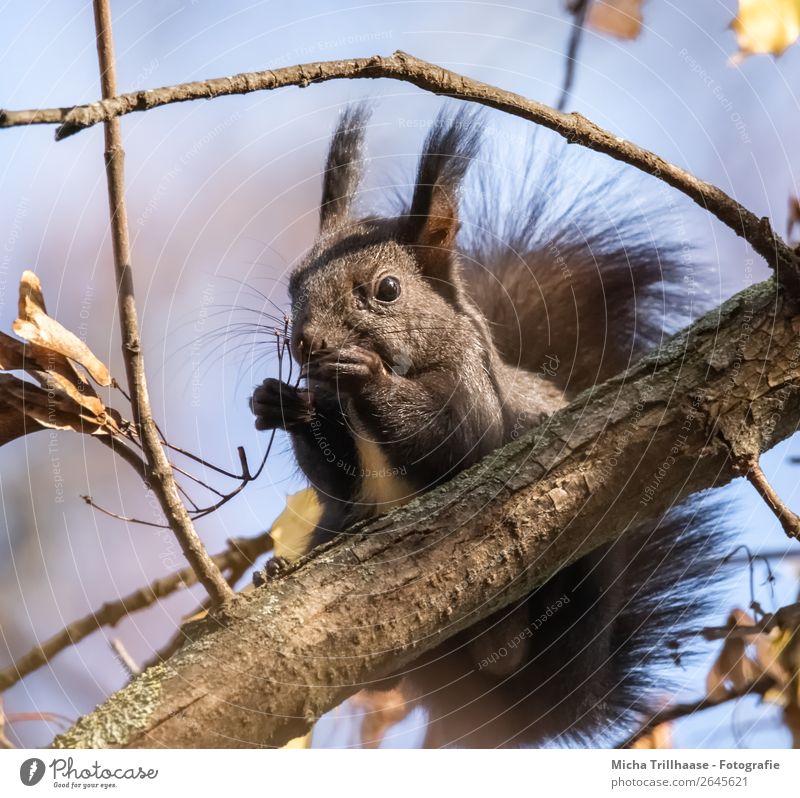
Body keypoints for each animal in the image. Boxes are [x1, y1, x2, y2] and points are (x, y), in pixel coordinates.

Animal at [250, 104, 724, 752]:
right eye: (295, 284)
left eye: (387, 289)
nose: (307, 343)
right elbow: (334, 477)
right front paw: (282, 402)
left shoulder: (477, 400)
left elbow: (453, 441)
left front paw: (365, 375)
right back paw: (279, 568)